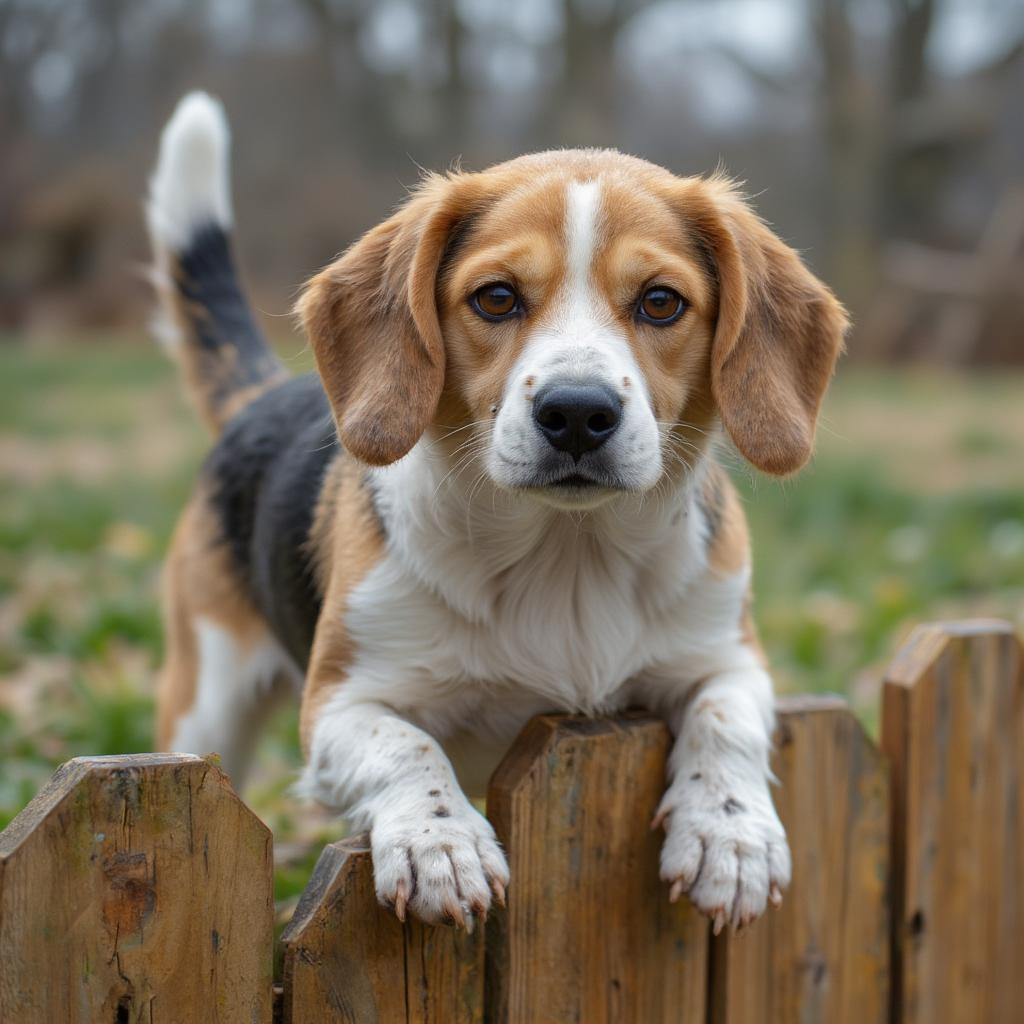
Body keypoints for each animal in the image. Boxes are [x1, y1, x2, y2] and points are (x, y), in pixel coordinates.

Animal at [146, 94, 847, 937]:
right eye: (497, 298)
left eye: (660, 302)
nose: (577, 413)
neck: (568, 555)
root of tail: (264, 394)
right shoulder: (342, 704)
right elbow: (407, 747)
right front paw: (440, 843)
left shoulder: (728, 657)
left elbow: (727, 722)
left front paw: (730, 836)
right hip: (205, 704)